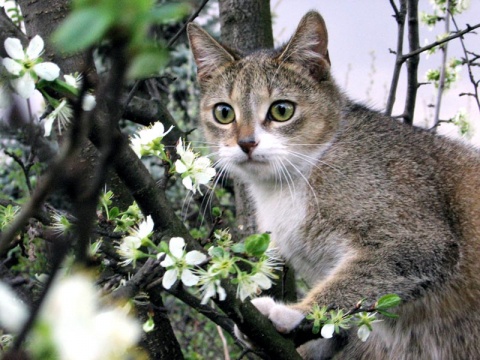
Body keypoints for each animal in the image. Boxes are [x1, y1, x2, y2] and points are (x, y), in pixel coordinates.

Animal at [186, 9, 480, 358]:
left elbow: (352, 285)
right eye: (223, 113)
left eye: (282, 110)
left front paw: (292, 314)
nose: (246, 143)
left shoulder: (420, 240)